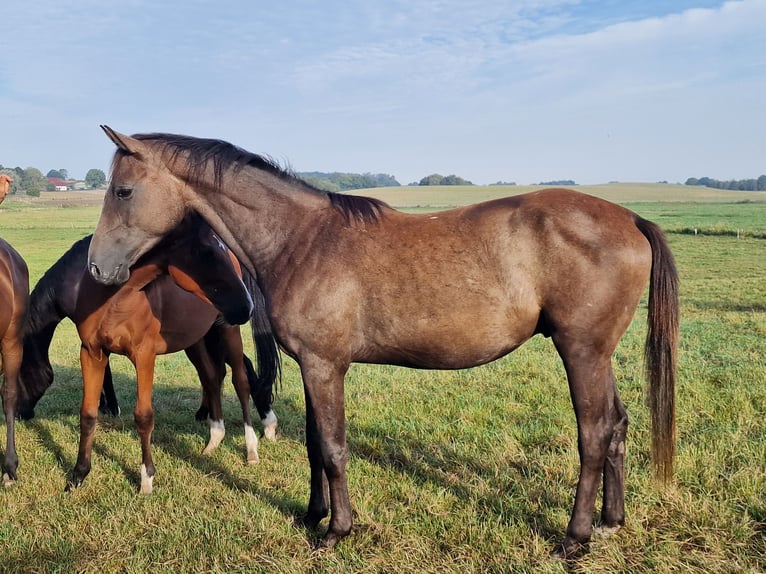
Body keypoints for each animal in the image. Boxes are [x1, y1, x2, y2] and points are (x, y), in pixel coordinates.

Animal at [19, 214, 280, 492]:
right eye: (206, 252)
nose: (246, 305)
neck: (115, 299)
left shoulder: (144, 356)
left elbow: (143, 417)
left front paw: (146, 479)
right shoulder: (92, 353)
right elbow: (87, 414)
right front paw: (78, 475)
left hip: (226, 331)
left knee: (240, 381)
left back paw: (253, 447)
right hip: (196, 339)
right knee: (211, 376)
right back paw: (214, 439)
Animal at [87, 128, 680, 560]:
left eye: (123, 191)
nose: (97, 268)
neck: (303, 240)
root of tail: (630, 217)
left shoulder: (326, 366)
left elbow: (333, 447)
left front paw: (337, 530)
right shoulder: (313, 366)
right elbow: (314, 444)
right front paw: (312, 514)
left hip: (580, 351)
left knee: (594, 434)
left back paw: (575, 538)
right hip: (597, 355)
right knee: (618, 425)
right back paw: (610, 523)